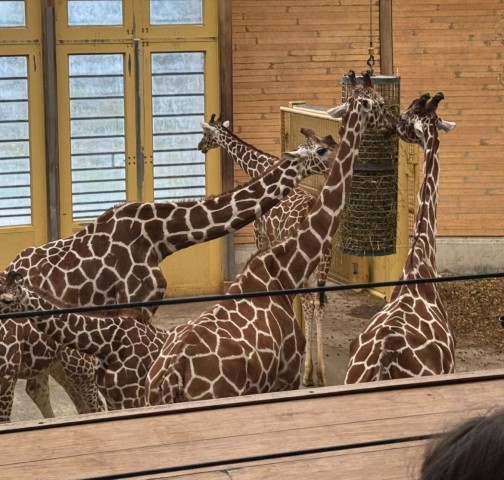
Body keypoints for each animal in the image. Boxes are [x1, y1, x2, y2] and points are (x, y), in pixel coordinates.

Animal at [198, 115, 333, 387]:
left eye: (206, 134)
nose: (200, 146)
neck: (258, 167)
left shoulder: (261, 236)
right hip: (324, 264)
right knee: (319, 305)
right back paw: (320, 373)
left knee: (310, 303)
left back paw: (307, 372)